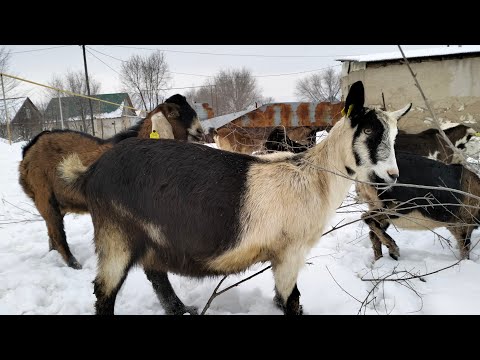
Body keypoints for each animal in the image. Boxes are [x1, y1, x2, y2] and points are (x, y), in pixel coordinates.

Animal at [17, 94, 202, 268]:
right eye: (177, 114)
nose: (200, 131)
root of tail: (29, 149)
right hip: (43, 194)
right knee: (57, 234)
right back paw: (74, 263)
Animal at [58, 81, 410, 316]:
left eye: (395, 134)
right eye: (368, 131)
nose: (393, 175)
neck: (313, 177)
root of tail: (91, 171)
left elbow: (282, 298)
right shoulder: (290, 252)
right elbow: (291, 300)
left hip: (148, 236)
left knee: (155, 273)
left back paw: (180, 309)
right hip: (116, 233)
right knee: (104, 290)